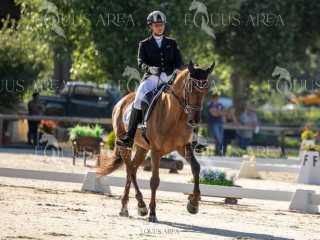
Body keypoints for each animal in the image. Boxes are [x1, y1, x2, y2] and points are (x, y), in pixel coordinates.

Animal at [97, 61, 215, 222]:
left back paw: (127, 207)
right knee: (130, 169)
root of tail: (121, 101)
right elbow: (154, 180)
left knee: (132, 169)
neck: (174, 116)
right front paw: (153, 213)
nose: (194, 121)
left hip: (142, 148)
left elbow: (196, 168)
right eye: (190, 87)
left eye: (206, 89)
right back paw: (140, 206)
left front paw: (194, 203)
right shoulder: (155, 150)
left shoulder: (183, 146)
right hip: (126, 146)